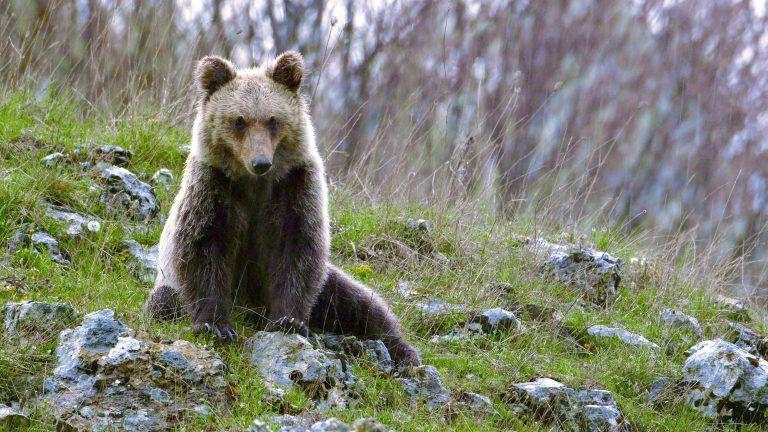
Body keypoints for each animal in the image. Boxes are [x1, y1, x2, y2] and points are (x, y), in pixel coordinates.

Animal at [145, 51, 421, 367]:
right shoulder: (214, 187)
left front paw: (288, 320)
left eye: (272, 120)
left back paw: (401, 349)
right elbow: (202, 246)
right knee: (164, 302)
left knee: (359, 302)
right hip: (168, 284)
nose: (261, 162)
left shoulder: (293, 186)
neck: (254, 184)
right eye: (239, 121)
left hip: (329, 282)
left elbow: (297, 248)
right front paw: (215, 324)